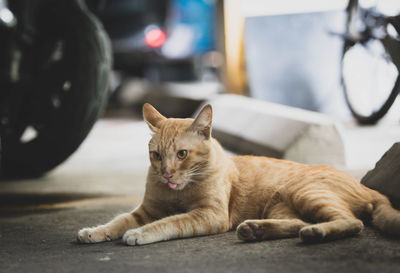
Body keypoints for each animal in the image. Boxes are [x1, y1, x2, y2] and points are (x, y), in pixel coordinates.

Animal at [77, 103, 400, 243]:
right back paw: (255, 230)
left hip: (306, 192)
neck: (178, 192)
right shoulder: (147, 209)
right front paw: (96, 230)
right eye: (156, 156)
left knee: (352, 222)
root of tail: (372, 190)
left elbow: (169, 222)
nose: (167, 174)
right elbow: (119, 219)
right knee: (298, 222)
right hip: (282, 205)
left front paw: (139, 234)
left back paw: (316, 232)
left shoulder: (209, 214)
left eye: (181, 154)